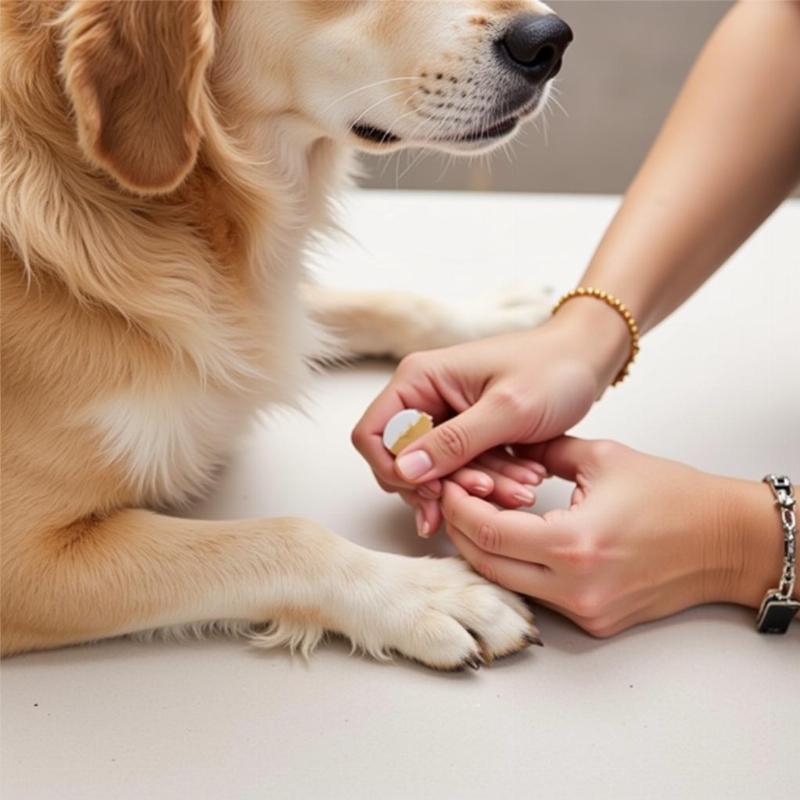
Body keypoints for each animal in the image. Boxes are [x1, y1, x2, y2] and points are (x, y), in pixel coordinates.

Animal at [3, 0, 572, 668]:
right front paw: (427, 594)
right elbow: (283, 535)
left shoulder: (261, 316)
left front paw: (497, 320)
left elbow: (382, 302)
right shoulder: (23, 557)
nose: (550, 42)